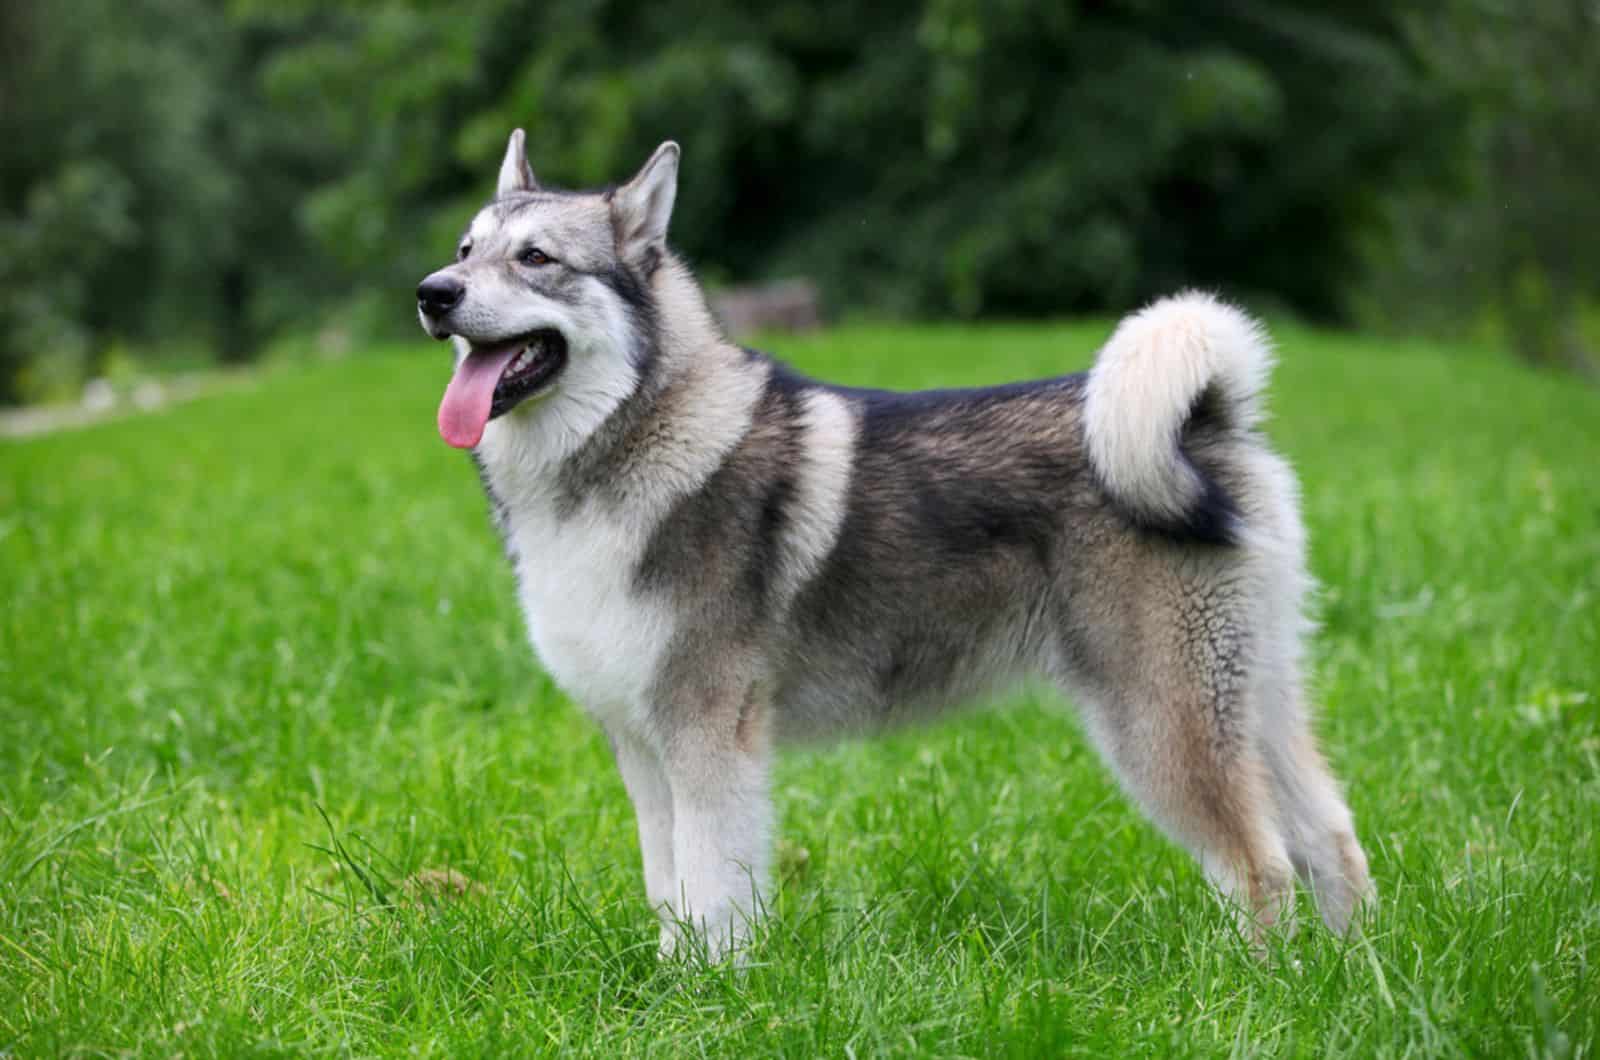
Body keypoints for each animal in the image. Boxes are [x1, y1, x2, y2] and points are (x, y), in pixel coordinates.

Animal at [412, 132, 1376, 960]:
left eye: (537, 258)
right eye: (464, 249)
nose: (432, 293)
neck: (635, 436)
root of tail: (1210, 420)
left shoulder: (709, 740)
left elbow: (714, 899)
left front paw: (711, 997)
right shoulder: (644, 749)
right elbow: (669, 893)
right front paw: (669, 986)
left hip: (1158, 719)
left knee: (1260, 867)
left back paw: (1257, 986)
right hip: (1252, 696)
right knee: (1330, 837)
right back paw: (1347, 977)